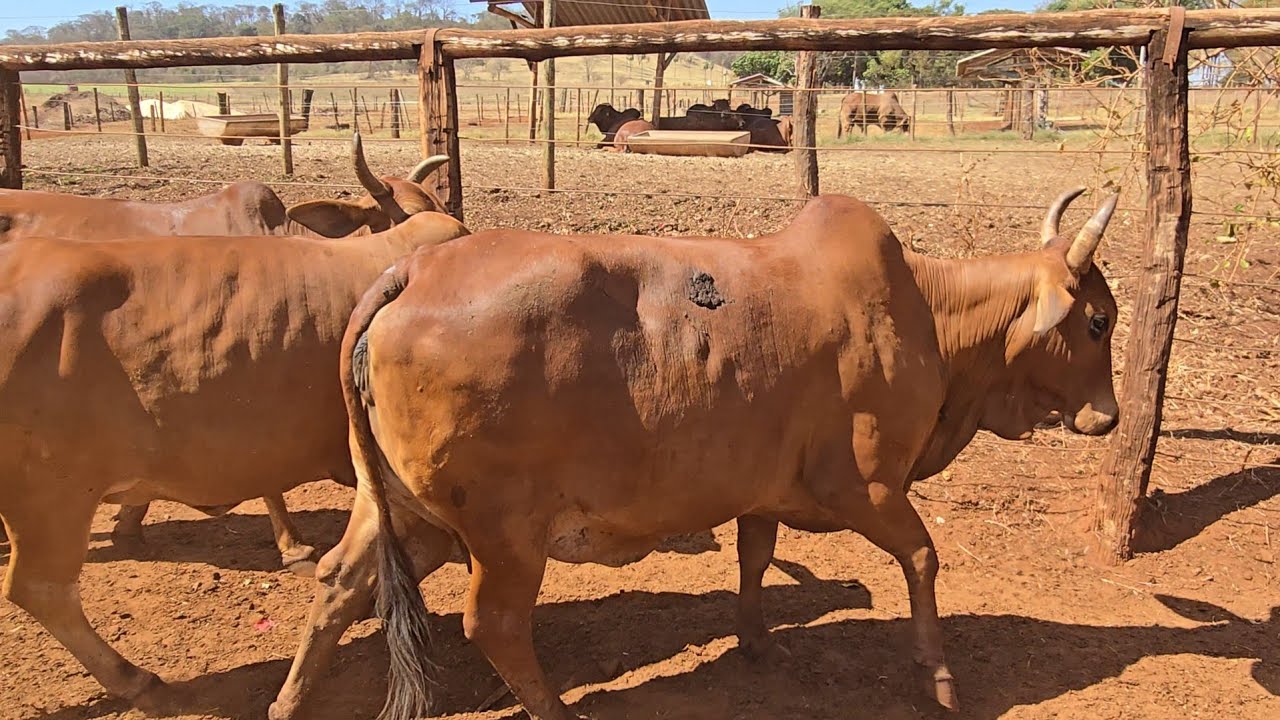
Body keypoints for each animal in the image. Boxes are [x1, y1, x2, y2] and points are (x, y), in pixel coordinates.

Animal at [268, 187, 1121, 720]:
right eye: (1099, 321)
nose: (1109, 417)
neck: (927, 314)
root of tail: (410, 271)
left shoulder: (761, 490)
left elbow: (755, 557)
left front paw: (754, 642)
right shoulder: (867, 486)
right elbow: (921, 560)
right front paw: (939, 679)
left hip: (394, 505)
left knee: (338, 581)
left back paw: (288, 700)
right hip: (504, 533)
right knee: (495, 623)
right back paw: (557, 711)